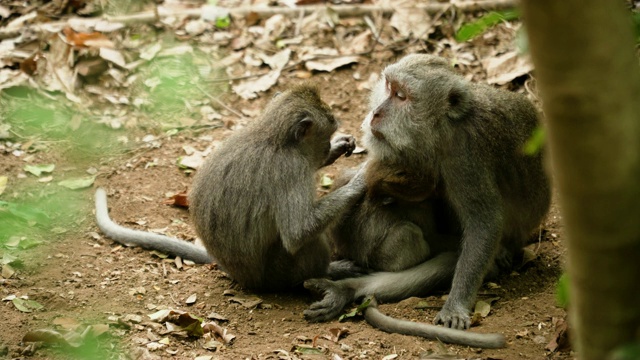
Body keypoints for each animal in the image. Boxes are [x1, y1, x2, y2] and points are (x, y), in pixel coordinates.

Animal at [94, 84, 368, 292]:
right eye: (324, 135)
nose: (327, 147)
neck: (273, 136)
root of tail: (240, 276)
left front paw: (340, 147)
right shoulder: (291, 169)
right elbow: (297, 232)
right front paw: (359, 181)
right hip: (279, 273)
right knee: (306, 241)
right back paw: (330, 272)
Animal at [304, 52, 552, 340]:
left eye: (401, 96)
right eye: (389, 87)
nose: (376, 113)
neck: (442, 127)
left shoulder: (465, 155)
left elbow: (484, 223)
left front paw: (456, 305)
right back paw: (346, 289)